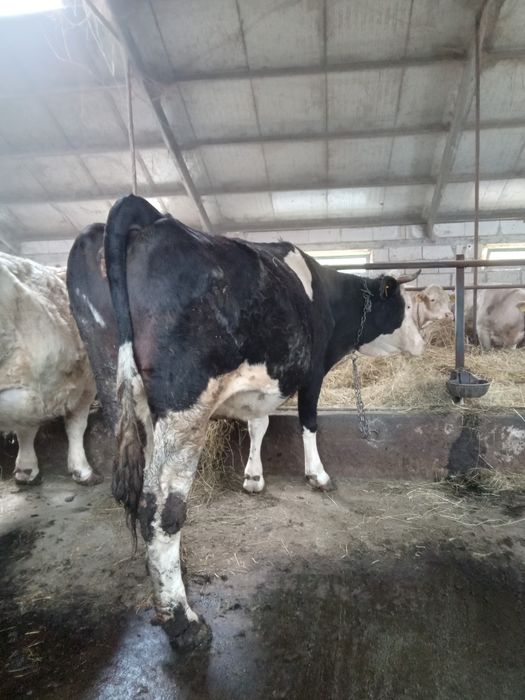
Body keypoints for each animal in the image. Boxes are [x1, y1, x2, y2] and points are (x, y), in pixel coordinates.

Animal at [67, 195, 422, 652]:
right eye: (406, 306)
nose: (423, 343)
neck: (327, 296)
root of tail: (144, 214)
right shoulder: (312, 372)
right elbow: (308, 421)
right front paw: (318, 475)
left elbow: (259, 426)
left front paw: (253, 477)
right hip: (184, 399)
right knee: (159, 509)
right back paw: (183, 621)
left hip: (113, 380)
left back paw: (176, 574)